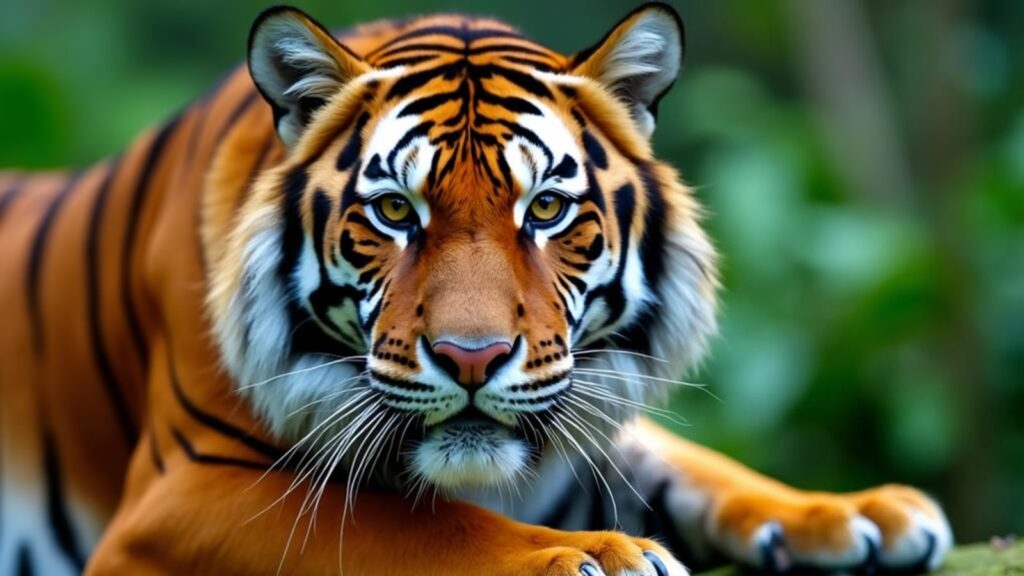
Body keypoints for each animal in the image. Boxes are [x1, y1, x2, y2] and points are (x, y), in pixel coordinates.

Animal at [0, 3, 953, 575]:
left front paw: (859, 511)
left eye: (546, 209)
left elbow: (699, 465)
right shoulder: (182, 492)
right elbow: (421, 522)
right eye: (394, 210)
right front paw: (600, 555)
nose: (472, 358)